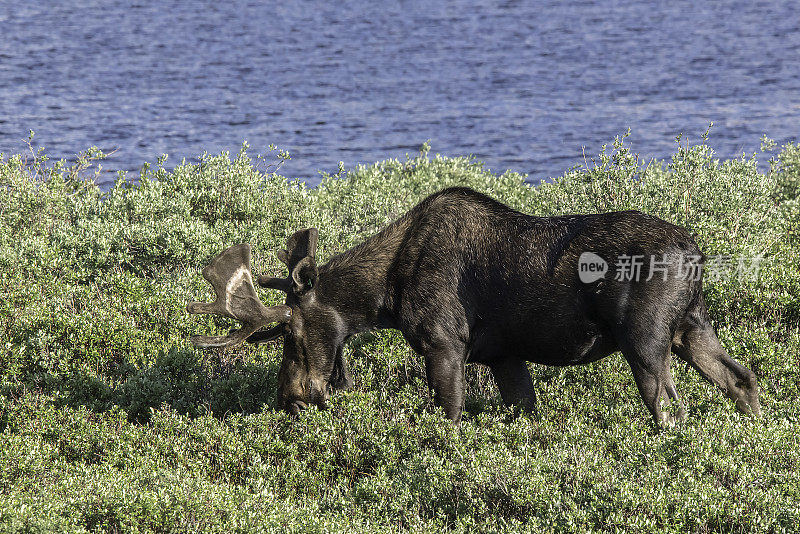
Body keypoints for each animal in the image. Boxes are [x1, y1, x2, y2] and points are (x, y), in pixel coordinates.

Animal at [186, 188, 756, 428]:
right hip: (690, 325)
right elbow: (523, 411)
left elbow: (451, 417)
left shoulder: (444, 343)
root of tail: (697, 251)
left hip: (645, 339)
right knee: (742, 378)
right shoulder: (503, 355)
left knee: (672, 409)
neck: (385, 295)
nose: (291, 397)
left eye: (290, 334)